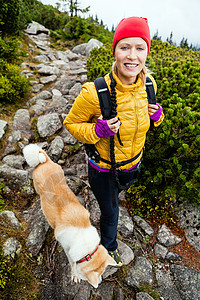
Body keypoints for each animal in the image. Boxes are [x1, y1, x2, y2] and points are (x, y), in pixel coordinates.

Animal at [22, 144, 116, 290]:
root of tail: (44, 161)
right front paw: (75, 275)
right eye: (99, 275)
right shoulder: (67, 249)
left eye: (103, 273)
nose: (100, 282)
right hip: (38, 189)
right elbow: (72, 264)